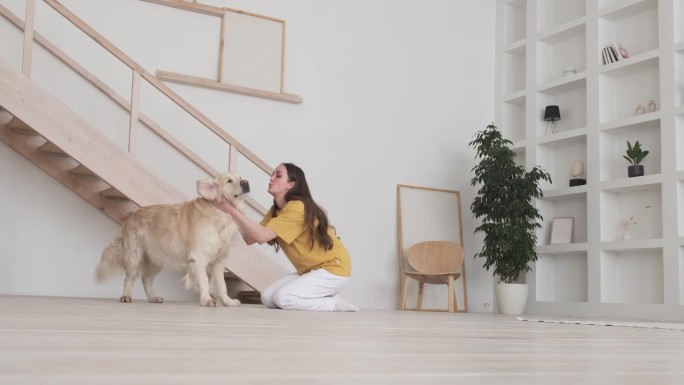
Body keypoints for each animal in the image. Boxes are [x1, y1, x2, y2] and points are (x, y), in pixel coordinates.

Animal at [95, 171, 247, 306]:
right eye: (229, 181)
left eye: (240, 178)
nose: (246, 182)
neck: (220, 213)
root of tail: (131, 215)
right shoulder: (198, 257)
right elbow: (204, 280)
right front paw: (206, 299)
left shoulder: (219, 262)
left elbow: (222, 285)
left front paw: (228, 301)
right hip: (134, 256)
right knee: (129, 278)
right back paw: (126, 296)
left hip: (155, 259)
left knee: (146, 279)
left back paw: (153, 298)